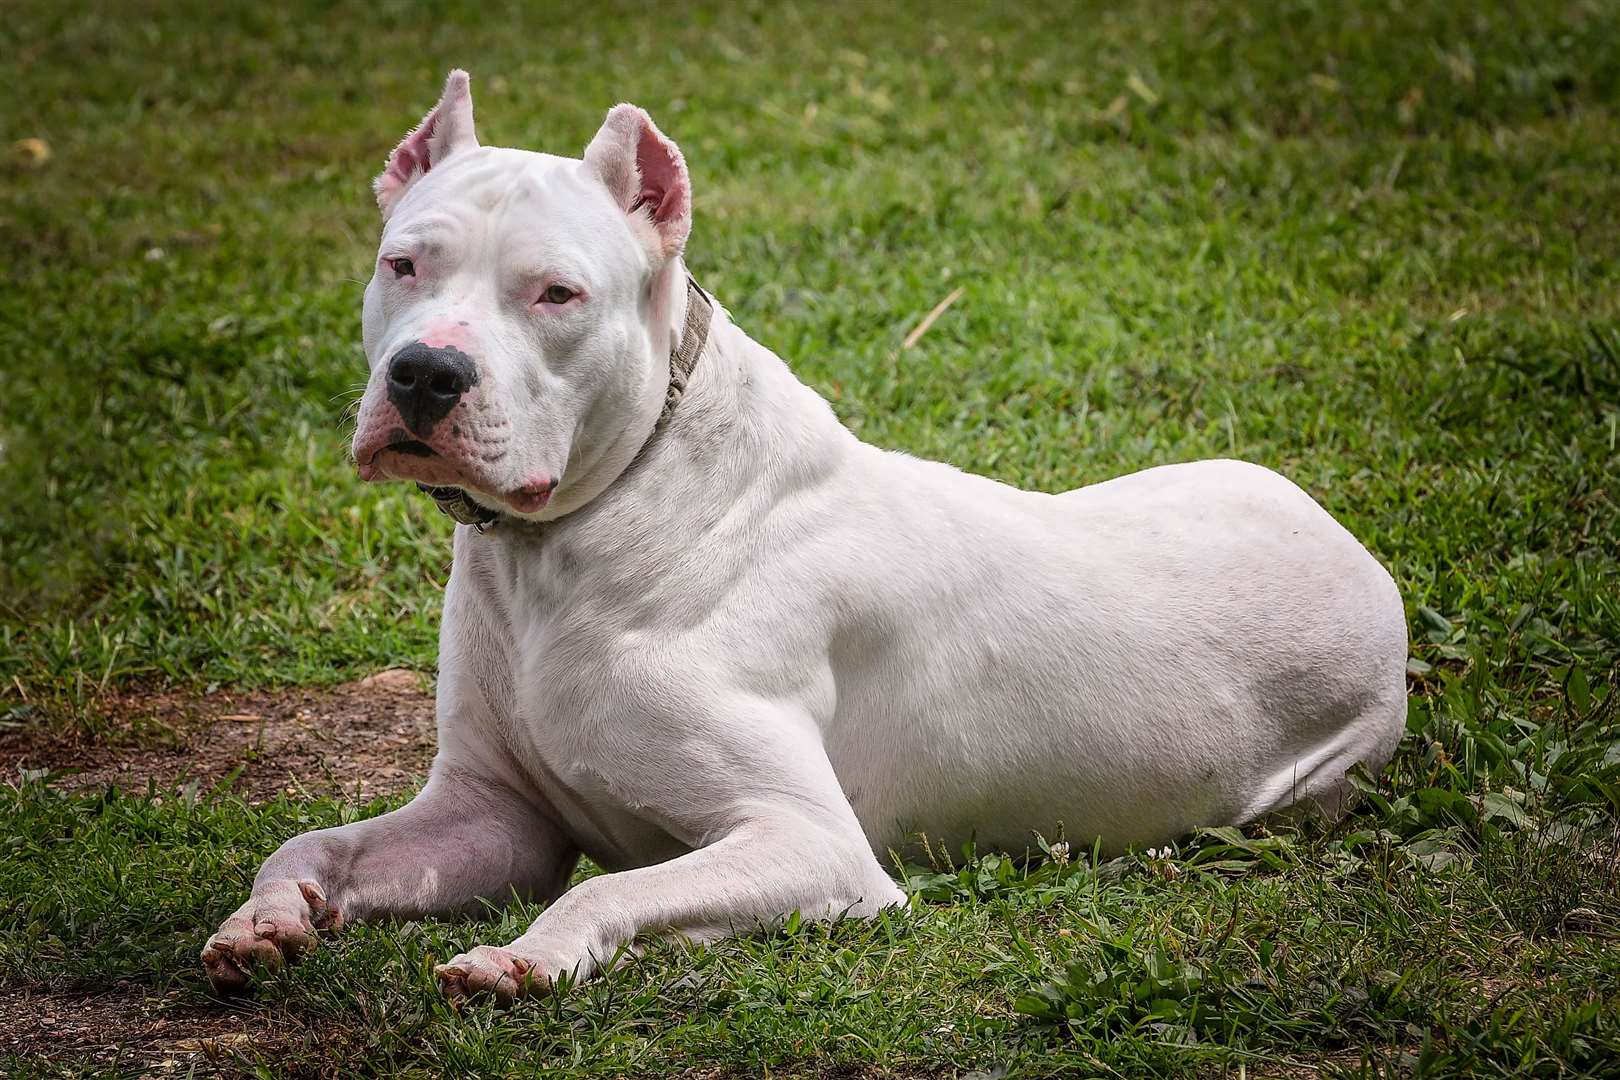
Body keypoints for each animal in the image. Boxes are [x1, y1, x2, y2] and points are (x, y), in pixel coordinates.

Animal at [205, 71, 1406, 1003]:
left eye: (555, 294)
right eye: (404, 264)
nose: (425, 374)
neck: (576, 534)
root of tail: (1354, 552)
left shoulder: (811, 844)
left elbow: (615, 885)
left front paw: (525, 957)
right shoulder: (491, 816)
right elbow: (313, 841)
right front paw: (265, 919)